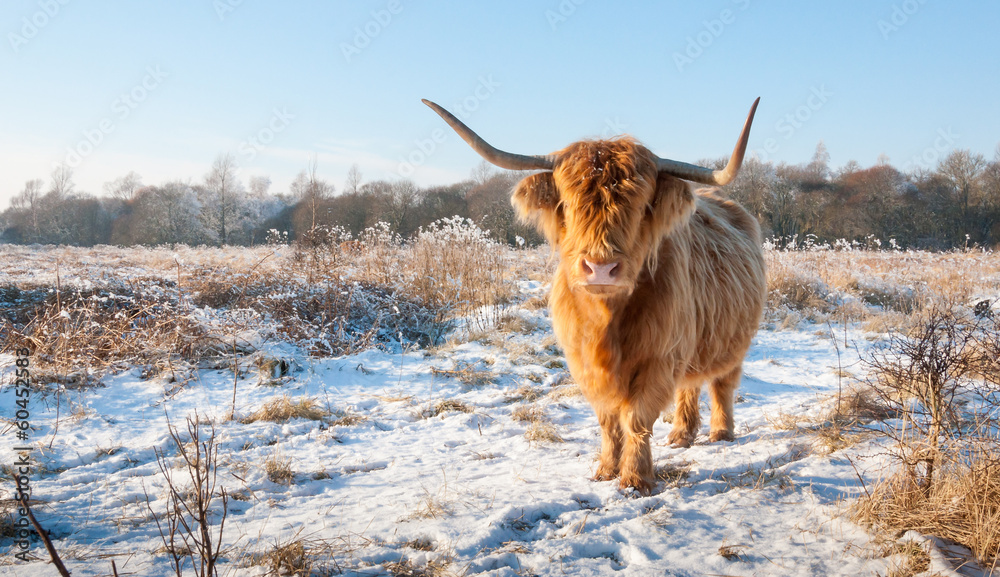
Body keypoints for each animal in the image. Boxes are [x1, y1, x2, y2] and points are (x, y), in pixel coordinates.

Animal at [423, 98, 766, 494]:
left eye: (640, 206)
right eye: (570, 204)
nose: (601, 269)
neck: (606, 319)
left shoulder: (659, 356)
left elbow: (637, 417)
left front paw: (636, 478)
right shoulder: (584, 360)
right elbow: (607, 418)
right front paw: (605, 469)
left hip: (732, 339)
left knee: (722, 382)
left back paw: (721, 432)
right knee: (689, 385)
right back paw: (682, 434)